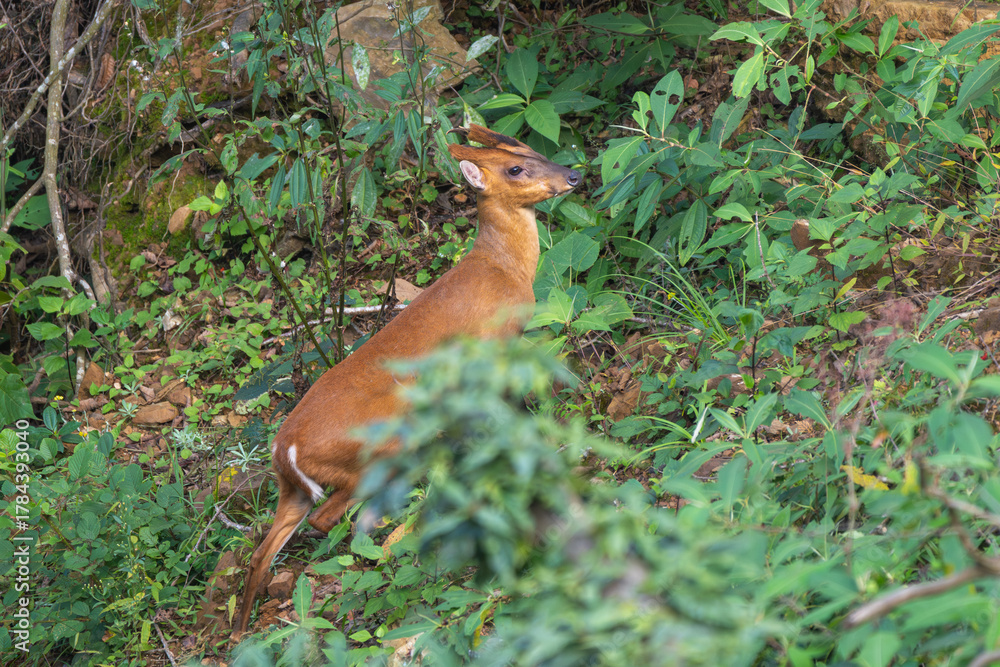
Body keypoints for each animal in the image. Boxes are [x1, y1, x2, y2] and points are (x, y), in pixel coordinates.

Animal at [234, 124, 581, 634]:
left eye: (529, 148)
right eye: (515, 168)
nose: (574, 175)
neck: (505, 268)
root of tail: (283, 449)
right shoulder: (494, 344)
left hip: (292, 489)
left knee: (262, 549)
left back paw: (241, 628)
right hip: (377, 448)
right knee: (329, 518)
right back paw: (391, 538)